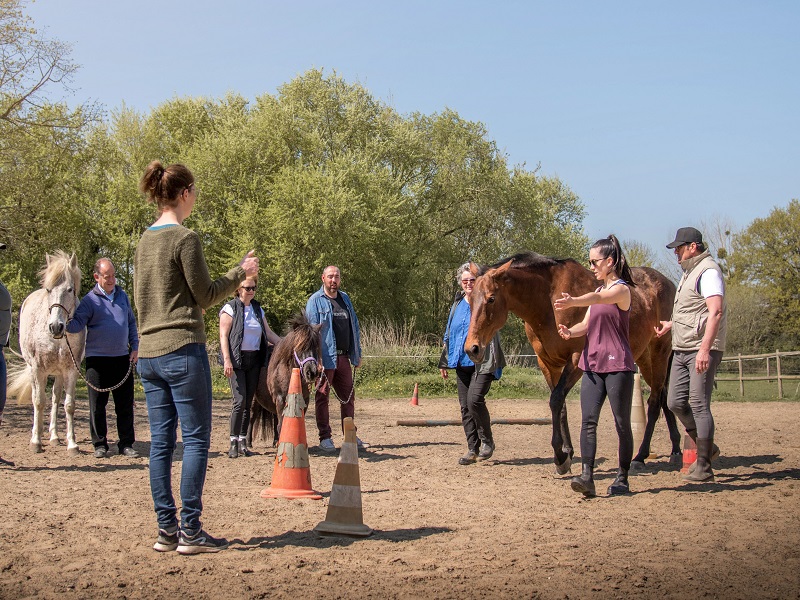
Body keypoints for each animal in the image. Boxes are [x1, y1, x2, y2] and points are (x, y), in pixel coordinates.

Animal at [8, 251, 86, 454]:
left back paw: (54, 437)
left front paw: (72, 443)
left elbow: (69, 405)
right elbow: (38, 401)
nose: (56, 327)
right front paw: (36, 441)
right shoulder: (37, 368)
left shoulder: (71, 370)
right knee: (38, 396)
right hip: (33, 369)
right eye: (49, 290)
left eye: (70, 289)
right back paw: (38, 433)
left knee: (55, 398)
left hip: (58, 373)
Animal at [250, 311, 323, 446]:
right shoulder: (281, 399)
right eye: (300, 347)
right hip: (253, 399)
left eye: (316, 347)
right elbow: (281, 423)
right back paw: (248, 443)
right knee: (252, 417)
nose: (312, 372)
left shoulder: (304, 400)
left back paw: (275, 441)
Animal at [464, 252, 682, 475]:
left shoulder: (576, 360)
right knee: (662, 397)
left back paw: (641, 456)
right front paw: (567, 452)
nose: (472, 349)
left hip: (660, 353)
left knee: (654, 403)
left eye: (491, 298)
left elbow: (556, 400)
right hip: (644, 358)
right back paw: (675, 450)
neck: (547, 302)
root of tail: (668, 284)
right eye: (470, 299)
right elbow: (560, 406)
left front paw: (560, 457)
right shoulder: (547, 363)